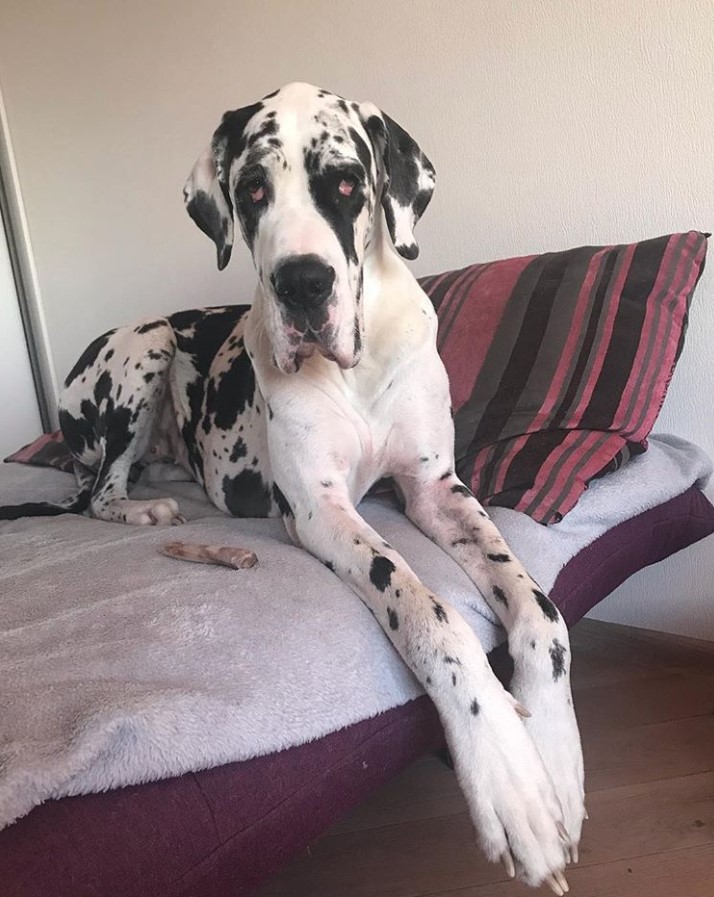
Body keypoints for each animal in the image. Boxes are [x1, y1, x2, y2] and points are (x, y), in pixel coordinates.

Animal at [1, 82, 584, 888]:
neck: (358, 366)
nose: (303, 284)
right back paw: (148, 509)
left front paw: (555, 758)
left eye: (344, 183)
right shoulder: (317, 511)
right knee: (97, 495)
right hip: (146, 342)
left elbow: (541, 611)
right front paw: (507, 774)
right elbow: (432, 616)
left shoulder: (438, 490)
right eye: (252, 190)